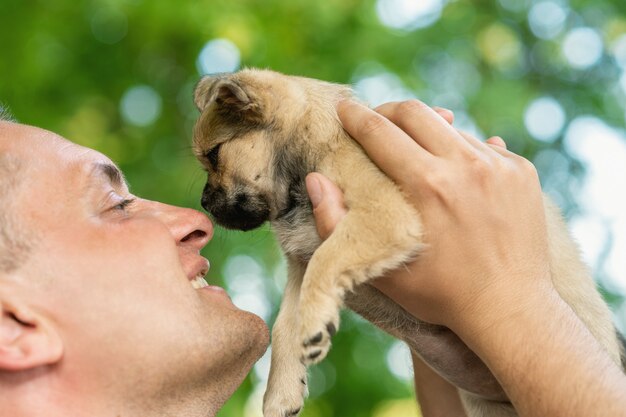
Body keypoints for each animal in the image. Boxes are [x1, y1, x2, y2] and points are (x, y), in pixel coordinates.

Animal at [193, 70, 620, 416]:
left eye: (214, 156)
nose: (203, 202)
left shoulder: (381, 216)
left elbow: (327, 263)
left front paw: (313, 324)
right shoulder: (300, 264)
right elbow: (284, 326)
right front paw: (282, 391)